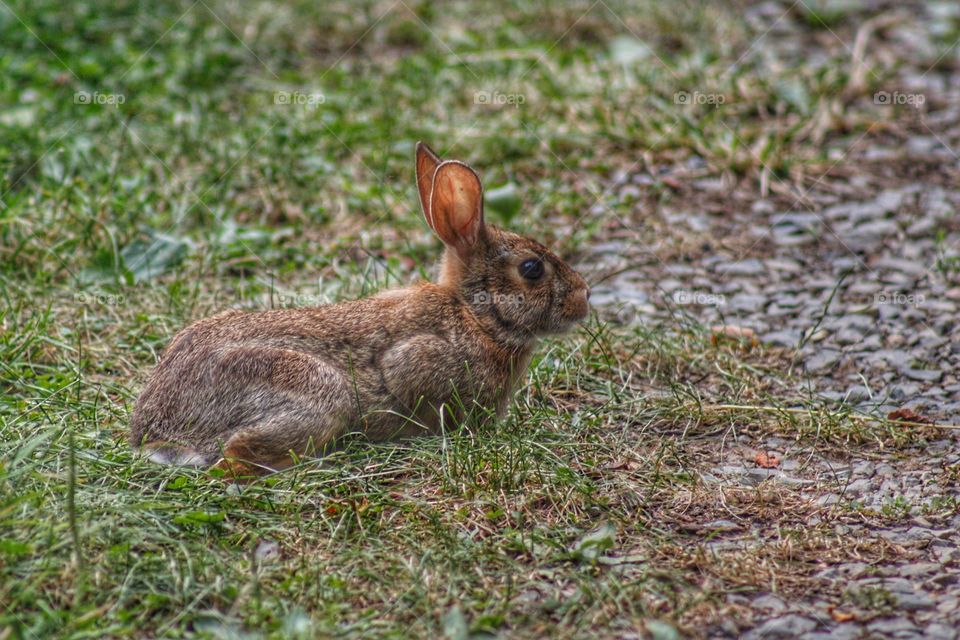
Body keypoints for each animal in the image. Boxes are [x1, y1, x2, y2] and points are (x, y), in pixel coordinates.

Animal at [130, 142, 588, 478]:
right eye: (532, 269)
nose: (583, 299)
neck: (476, 317)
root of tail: (156, 431)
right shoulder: (418, 359)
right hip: (318, 392)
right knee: (234, 455)